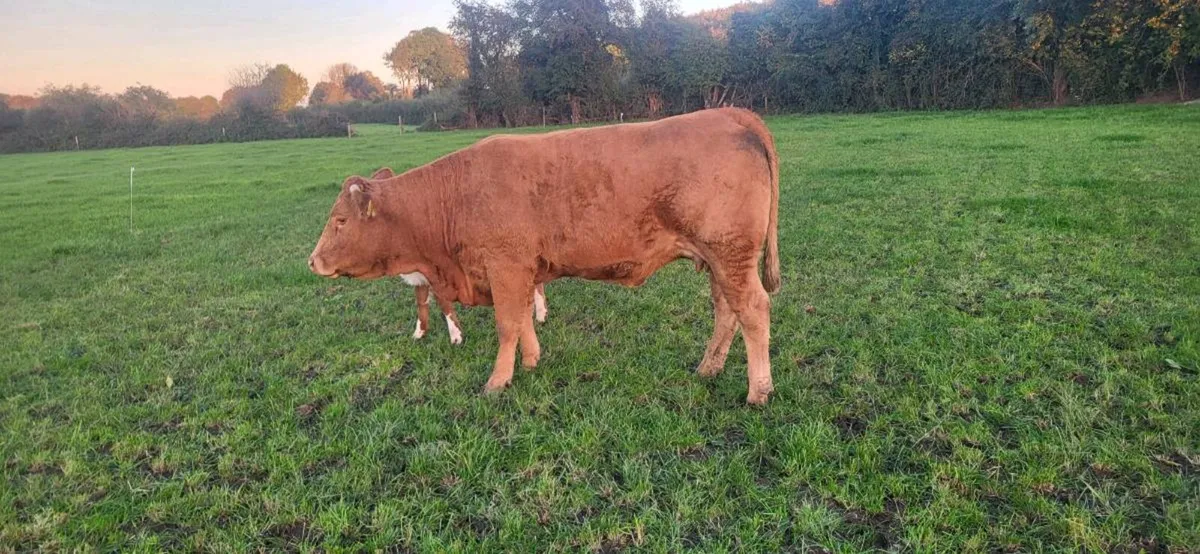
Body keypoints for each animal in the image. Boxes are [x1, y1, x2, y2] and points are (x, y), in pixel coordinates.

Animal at [369, 166, 549, 345]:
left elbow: (444, 306)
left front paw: (456, 337)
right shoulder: (419, 279)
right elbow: (421, 303)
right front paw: (419, 333)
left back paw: (540, 315)